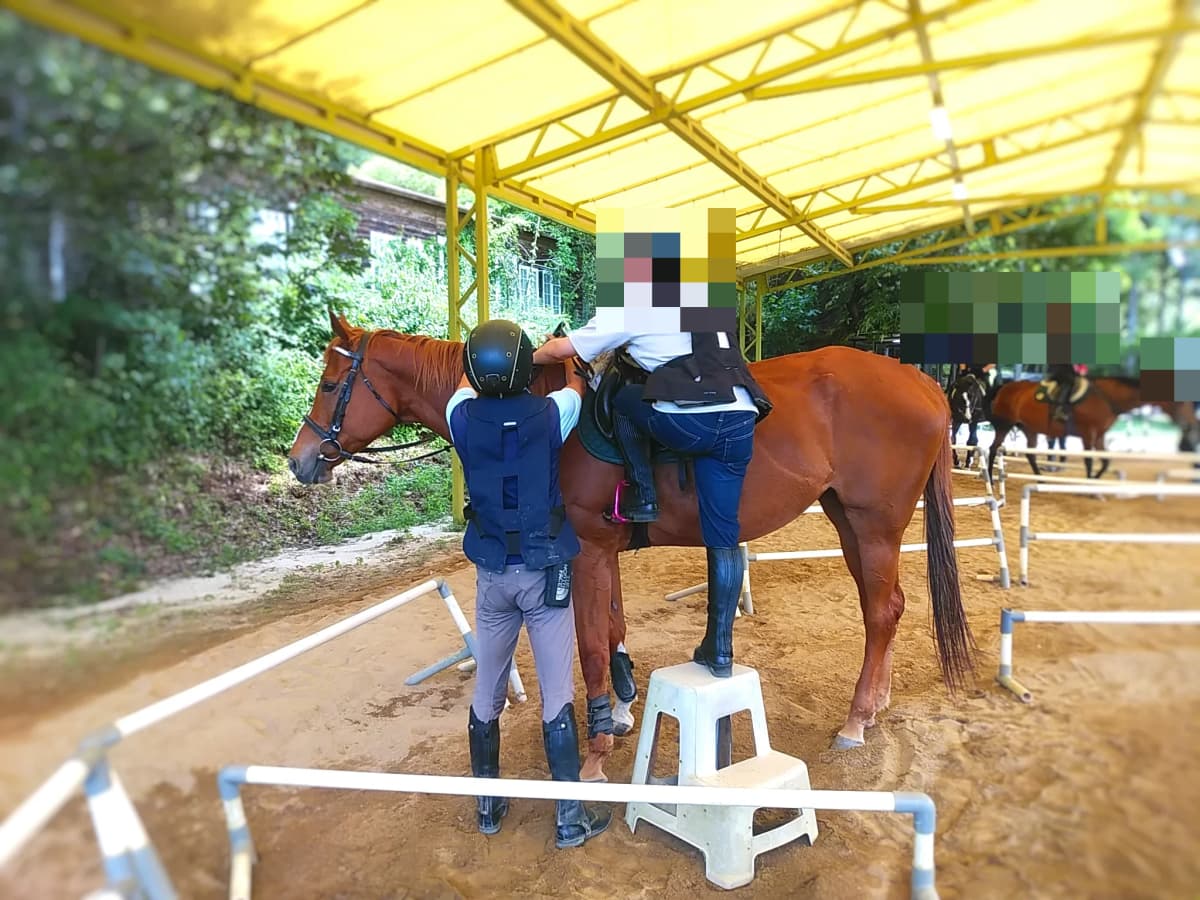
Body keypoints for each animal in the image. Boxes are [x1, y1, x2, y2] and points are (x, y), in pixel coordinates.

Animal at [288, 313, 975, 783]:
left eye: (329, 382)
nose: (299, 461)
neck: (525, 404)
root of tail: (920, 381)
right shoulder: (602, 551)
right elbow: (614, 628)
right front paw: (619, 710)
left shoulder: (587, 551)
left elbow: (592, 643)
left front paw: (594, 752)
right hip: (850, 522)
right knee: (887, 607)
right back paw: (875, 703)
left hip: (874, 524)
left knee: (881, 611)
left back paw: (856, 720)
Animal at [986, 377, 1144, 481]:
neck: (1105, 397)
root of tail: (1004, 387)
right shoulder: (1088, 435)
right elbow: (1089, 461)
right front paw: (1090, 488)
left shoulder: (1099, 436)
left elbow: (1105, 462)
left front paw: (1095, 482)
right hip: (1005, 425)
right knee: (993, 447)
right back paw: (990, 479)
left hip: (1029, 428)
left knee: (1030, 454)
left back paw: (1040, 479)